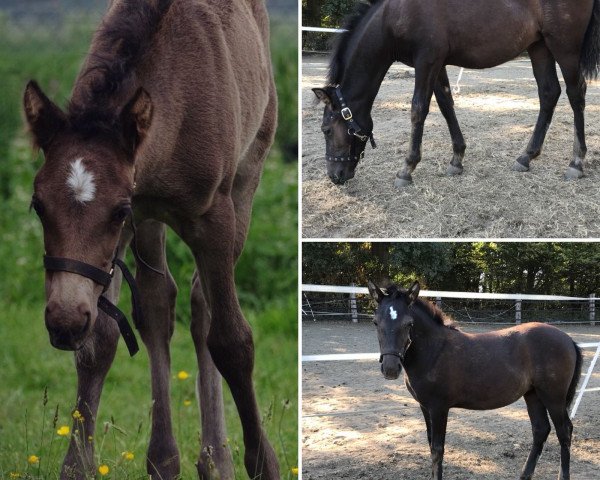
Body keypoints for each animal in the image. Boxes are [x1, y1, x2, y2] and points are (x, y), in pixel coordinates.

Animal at [22, 0, 278, 480]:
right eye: (38, 205)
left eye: (117, 209)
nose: (63, 322)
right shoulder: (129, 226)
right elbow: (100, 342)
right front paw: (78, 466)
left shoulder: (209, 217)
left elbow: (232, 341)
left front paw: (263, 462)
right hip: (151, 223)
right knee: (160, 302)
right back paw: (165, 459)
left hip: (246, 179)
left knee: (202, 307)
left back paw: (217, 459)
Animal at [312, 0, 600, 186]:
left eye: (326, 130)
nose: (335, 176)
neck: (394, 14)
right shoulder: (437, 63)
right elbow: (446, 104)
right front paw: (457, 159)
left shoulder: (426, 61)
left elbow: (418, 109)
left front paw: (407, 169)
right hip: (539, 46)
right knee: (549, 93)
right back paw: (526, 157)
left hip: (564, 47)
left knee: (576, 94)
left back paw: (576, 162)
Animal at [368, 282, 584, 480]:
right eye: (376, 322)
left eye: (409, 324)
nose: (390, 369)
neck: (434, 350)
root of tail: (568, 340)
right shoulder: (424, 406)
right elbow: (431, 446)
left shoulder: (439, 408)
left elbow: (437, 449)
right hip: (533, 395)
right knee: (540, 430)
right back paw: (524, 475)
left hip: (553, 397)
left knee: (564, 431)